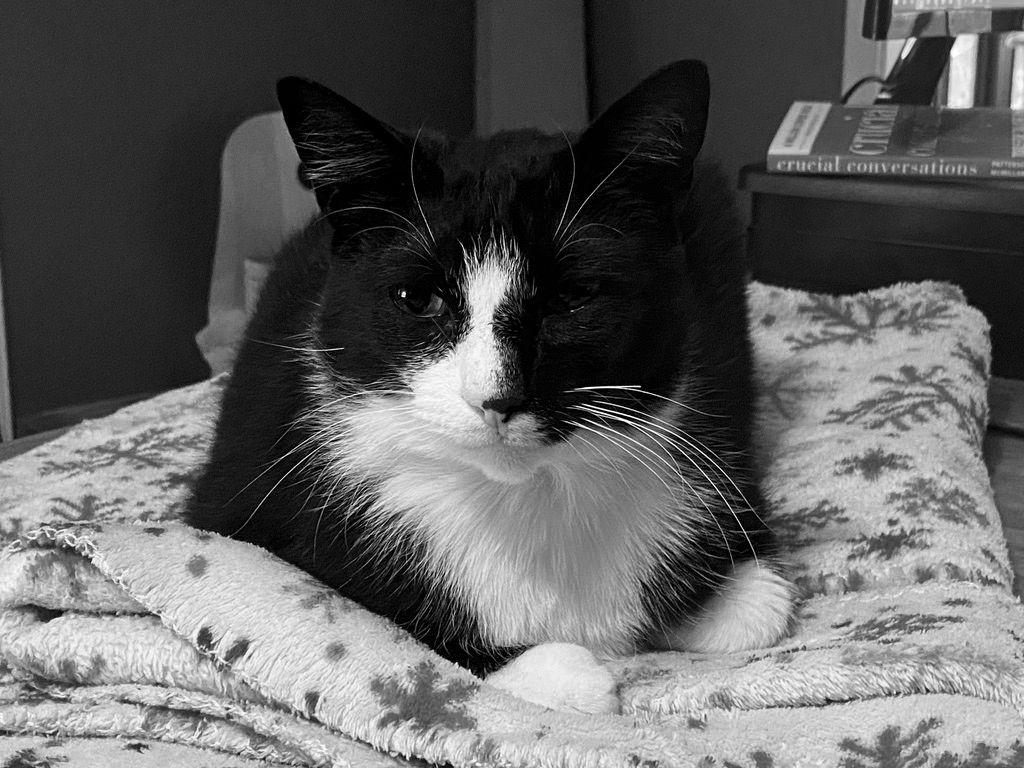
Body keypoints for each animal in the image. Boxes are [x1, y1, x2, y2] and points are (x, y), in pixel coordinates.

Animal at [184, 60, 790, 716]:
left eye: (571, 298)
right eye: (417, 298)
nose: (495, 399)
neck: (527, 497)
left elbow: (760, 612)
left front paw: (733, 591)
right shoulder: (242, 479)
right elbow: (340, 593)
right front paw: (559, 672)